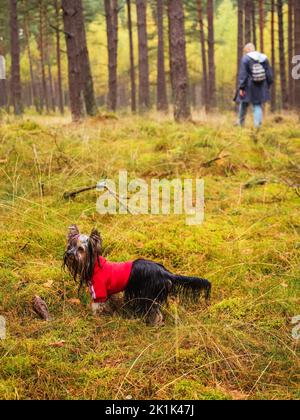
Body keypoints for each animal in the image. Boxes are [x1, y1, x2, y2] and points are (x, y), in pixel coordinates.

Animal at [63, 226, 211, 324]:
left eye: (80, 249)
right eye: (70, 246)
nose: (69, 254)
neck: (94, 266)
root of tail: (166, 272)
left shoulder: (98, 291)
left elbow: (96, 307)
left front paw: (95, 318)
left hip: (148, 295)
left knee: (156, 313)